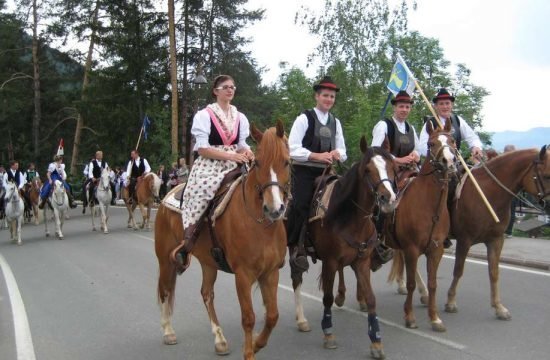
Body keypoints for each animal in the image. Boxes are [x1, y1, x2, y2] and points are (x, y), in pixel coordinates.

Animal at [155, 121, 292, 360]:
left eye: (286, 161)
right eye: (258, 163)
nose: (274, 209)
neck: (260, 224)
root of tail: (166, 198)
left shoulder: (270, 272)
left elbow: (272, 315)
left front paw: (258, 343)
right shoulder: (243, 275)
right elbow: (249, 317)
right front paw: (249, 352)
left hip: (208, 263)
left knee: (206, 294)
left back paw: (219, 340)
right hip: (165, 259)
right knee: (165, 290)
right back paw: (169, 332)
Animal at [292, 137, 398, 358]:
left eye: (392, 166)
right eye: (367, 170)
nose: (389, 199)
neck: (348, 216)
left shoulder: (362, 261)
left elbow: (371, 298)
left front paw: (376, 341)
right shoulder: (330, 262)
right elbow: (327, 297)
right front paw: (328, 333)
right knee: (296, 278)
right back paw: (301, 320)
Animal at [386, 121, 460, 332]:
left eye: (452, 140)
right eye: (431, 143)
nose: (448, 161)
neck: (429, 205)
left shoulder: (435, 249)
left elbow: (433, 283)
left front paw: (434, 318)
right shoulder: (411, 248)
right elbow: (411, 282)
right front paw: (409, 317)